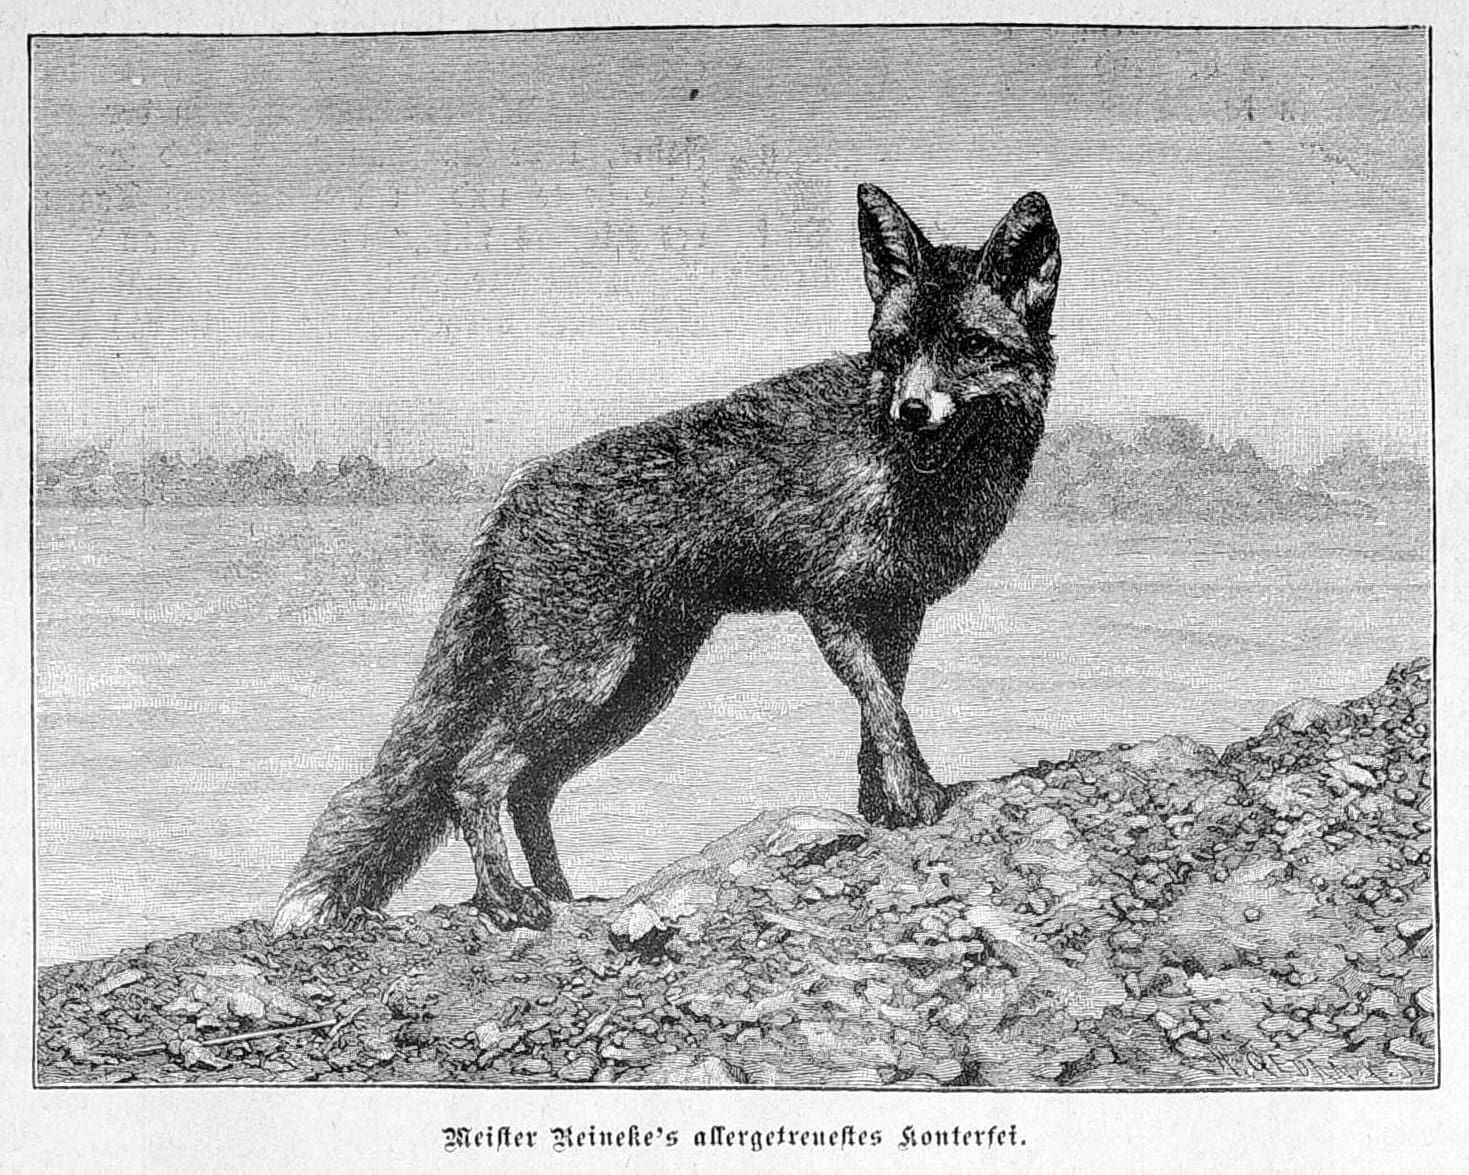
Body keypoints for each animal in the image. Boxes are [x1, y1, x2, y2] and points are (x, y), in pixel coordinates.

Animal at [274, 184, 1061, 934]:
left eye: (969, 345)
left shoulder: (899, 610)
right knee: (472, 778)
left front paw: (883, 808)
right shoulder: (829, 605)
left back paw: (562, 895)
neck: (914, 476)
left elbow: (881, 718)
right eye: (895, 349)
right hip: (580, 683)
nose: (910, 411)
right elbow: (886, 712)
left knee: (528, 789)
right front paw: (919, 798)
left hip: (635, 690)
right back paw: (506, 902)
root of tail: (513, 491)